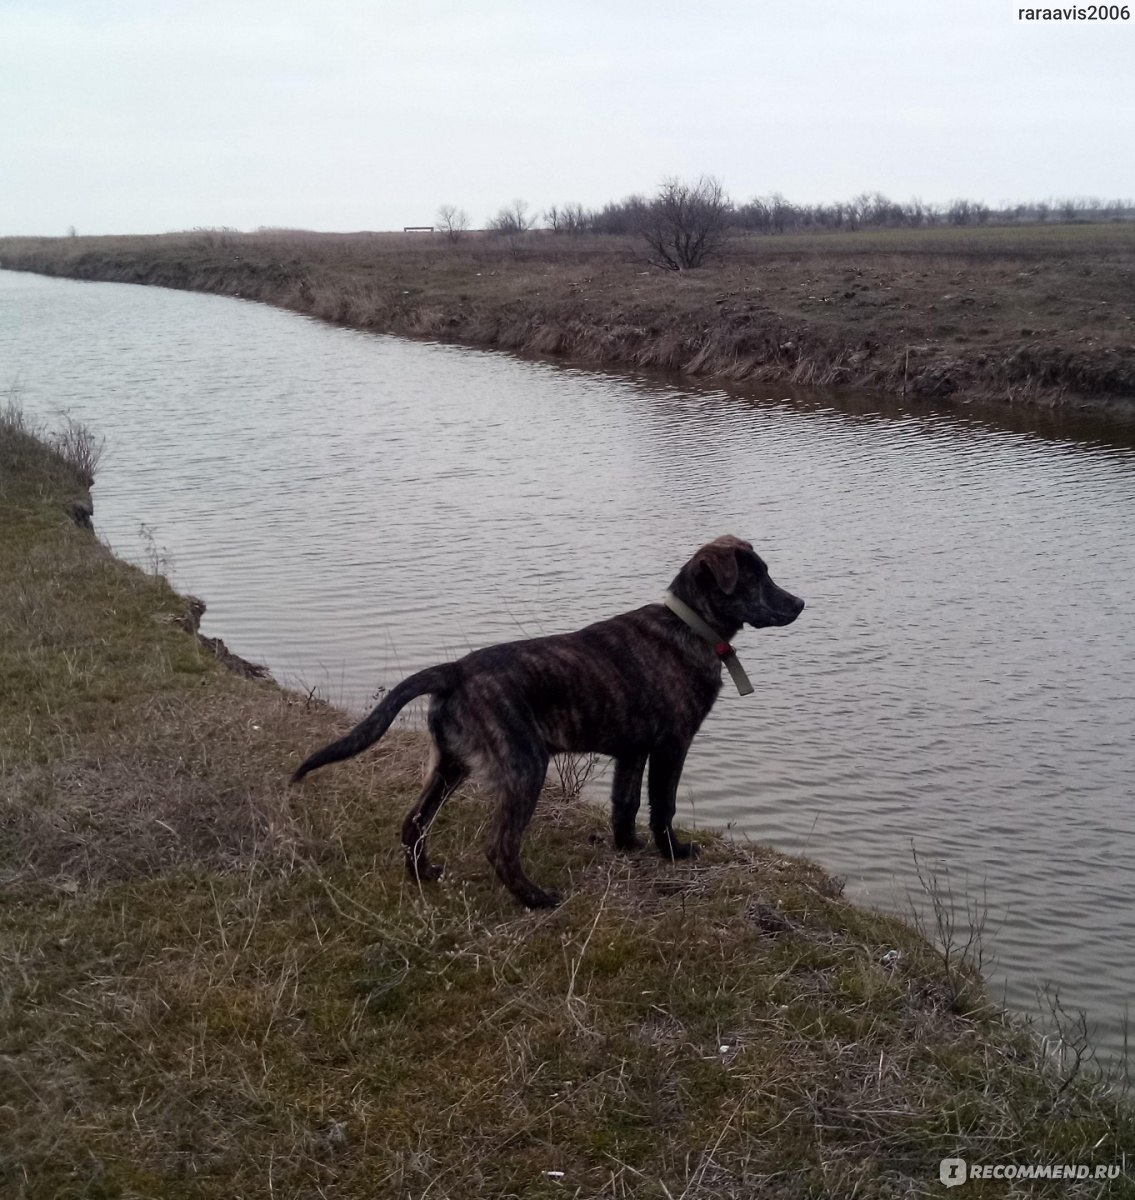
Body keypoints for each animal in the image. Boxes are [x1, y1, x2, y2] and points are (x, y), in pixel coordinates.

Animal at [291, 537, 806, 907]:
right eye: (756, 577)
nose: (799, 604)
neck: (689, 625)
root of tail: (455, 670)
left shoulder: (632, 752)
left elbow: (624, 805)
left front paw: (627, 848)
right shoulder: (671, 745)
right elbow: (663, 806)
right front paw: (674, 853)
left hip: (452, 764)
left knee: (413, 822)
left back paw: (425, 875)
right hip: (525, 766)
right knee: (499, 847)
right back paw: (535, 899)